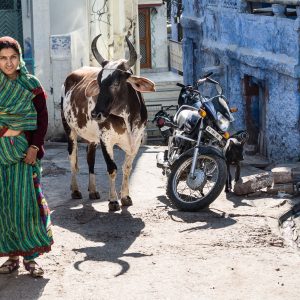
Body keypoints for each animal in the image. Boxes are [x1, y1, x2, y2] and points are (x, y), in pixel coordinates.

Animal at [61, 34, 155, 211]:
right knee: (72, 159)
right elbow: (112, 169)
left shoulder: (136, 141)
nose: (95, 113)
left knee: (90, 158)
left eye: (116, 83)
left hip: (92, 138)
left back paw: (92, 190)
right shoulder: (106, 140)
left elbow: (127, 168)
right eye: (98, 82)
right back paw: (75, 190)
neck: (127, 119)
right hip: (69, 130)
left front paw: (125, 197)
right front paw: (113, 201)